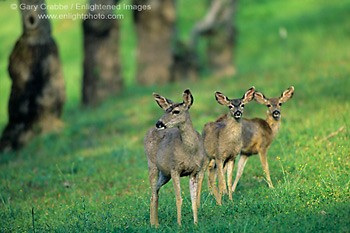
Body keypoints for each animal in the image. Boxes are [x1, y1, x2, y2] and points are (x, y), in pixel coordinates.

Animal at [144, 88, 206, 226]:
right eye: (165, 110)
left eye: (176, 111)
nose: (159, 123)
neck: (189, 151)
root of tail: (148, 131)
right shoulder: (174, 169)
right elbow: (178, 198)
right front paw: (179, 224)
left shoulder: (194, 172)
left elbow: (194, 200)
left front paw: (196, 223)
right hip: (152, 165)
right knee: (153, 194)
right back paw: (153, 225)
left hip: (164, 174)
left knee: (156, 192)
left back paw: (156, 223)